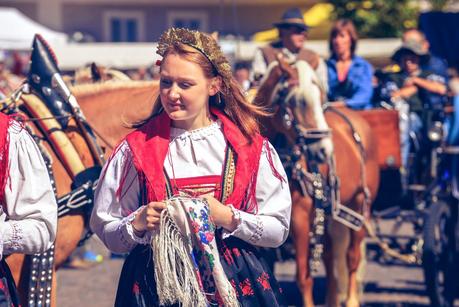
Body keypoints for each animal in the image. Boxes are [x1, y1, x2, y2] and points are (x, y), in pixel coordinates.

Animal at [253, 56, 380, 307]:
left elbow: (304, 276)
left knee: (352, 257)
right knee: (331, 257)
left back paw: (351, 299)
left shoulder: (300, 217)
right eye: (300, 101)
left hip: (360, 203)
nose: (324, 151)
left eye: (322, 99)